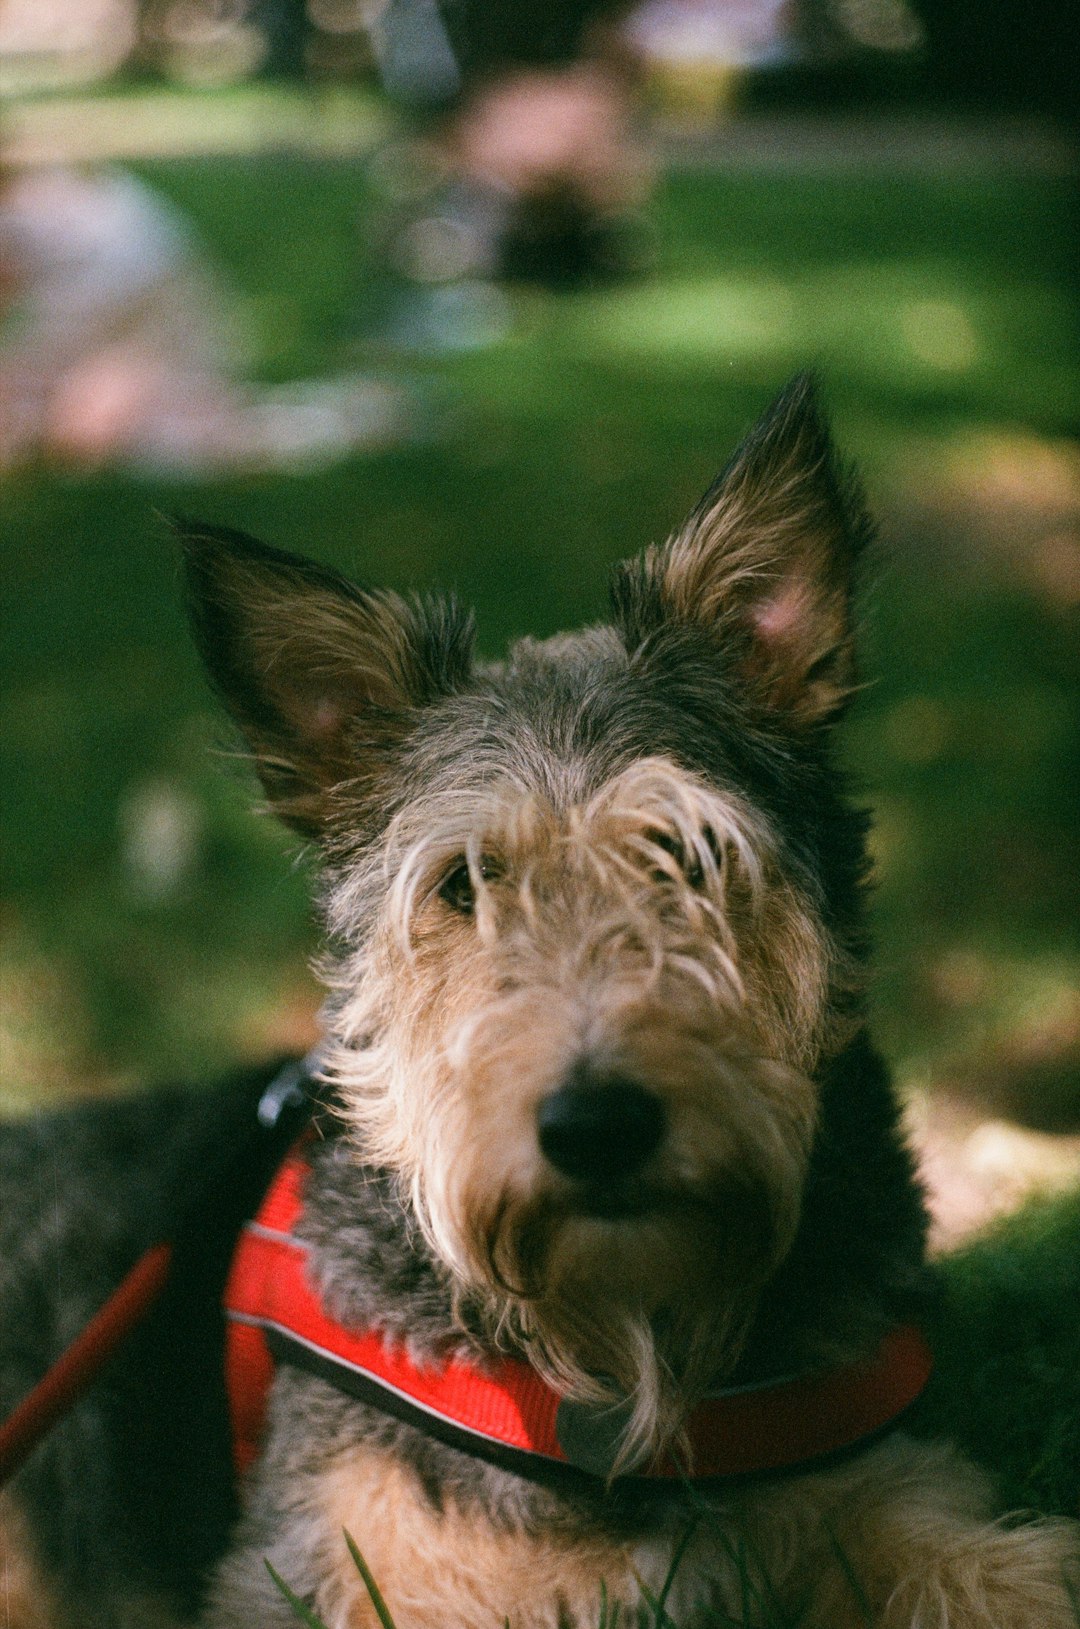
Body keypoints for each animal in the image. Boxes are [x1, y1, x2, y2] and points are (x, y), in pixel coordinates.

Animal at [2, 374, 1080, 1622]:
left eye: (690, 856)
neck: (619, 1358)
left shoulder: (894, 1480)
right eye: (466, 883)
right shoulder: (329, 1562)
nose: (597, 1127)